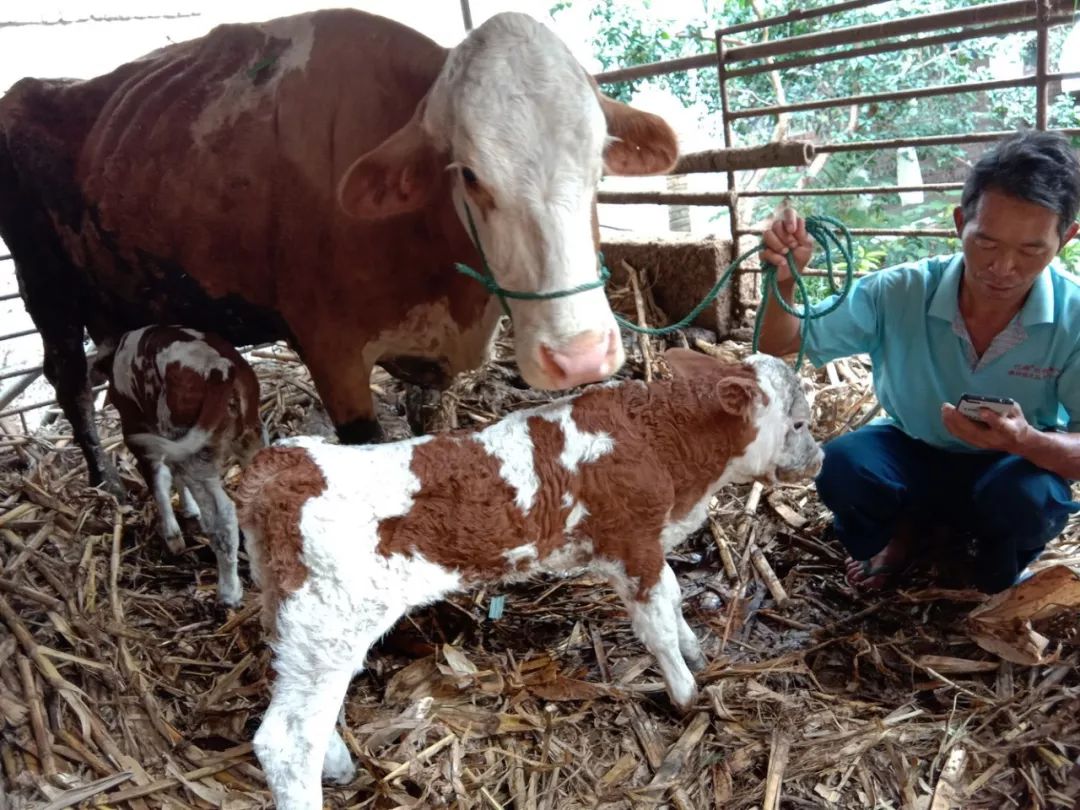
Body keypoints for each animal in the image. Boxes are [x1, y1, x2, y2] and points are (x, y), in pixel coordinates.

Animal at [0, 9, 673, 494]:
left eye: (598, 161)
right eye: (469, 174)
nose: (580, 358)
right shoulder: (331, 351)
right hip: (43, 286)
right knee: (68, 380)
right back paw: (104, 482)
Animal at [100, 326, 265, 604]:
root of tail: (221, 369)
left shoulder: (137, 431)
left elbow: (158, 480)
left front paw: (172, 536)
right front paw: (188, 509)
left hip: (194, 451)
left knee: (222, 517)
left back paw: (229, 591)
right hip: (249, 436)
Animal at [238, 349, 825, 810]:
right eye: (799, 422)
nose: (818, 459)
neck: (663, 440)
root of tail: (282, 463)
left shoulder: (649, 547)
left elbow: (675, 597)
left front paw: (696, 653)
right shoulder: (631, 541)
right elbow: (656, 621)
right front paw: (685, 692)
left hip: (298, 619)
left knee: (305, 712)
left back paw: (338, 764)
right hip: (332, 616)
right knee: (286, 740)